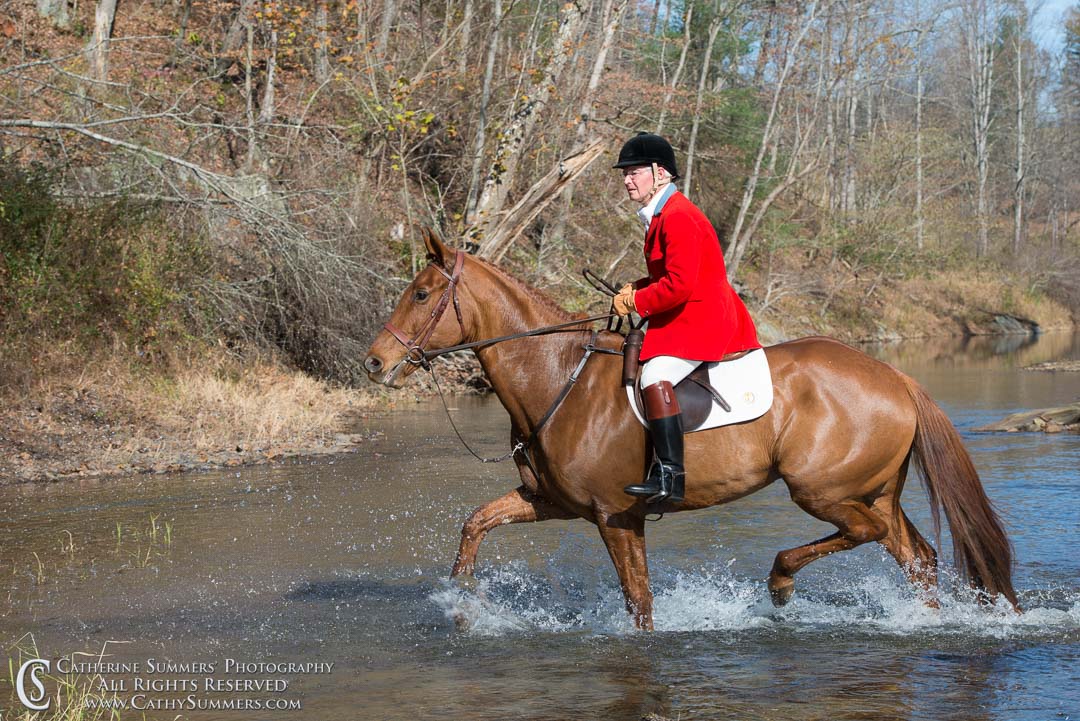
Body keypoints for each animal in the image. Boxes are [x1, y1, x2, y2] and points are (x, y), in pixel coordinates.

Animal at [367, 227, 1015, 626]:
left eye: (421, 294)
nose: (374, 362)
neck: (558, 379)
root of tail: (895, 376)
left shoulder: (615, 515)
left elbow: (640, 604)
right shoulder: (551, 501)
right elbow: (476, 522)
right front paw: (461, 601)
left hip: (824, 490)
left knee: (866, 536)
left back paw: (780, 583)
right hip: (873, 490)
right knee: (917, 558)